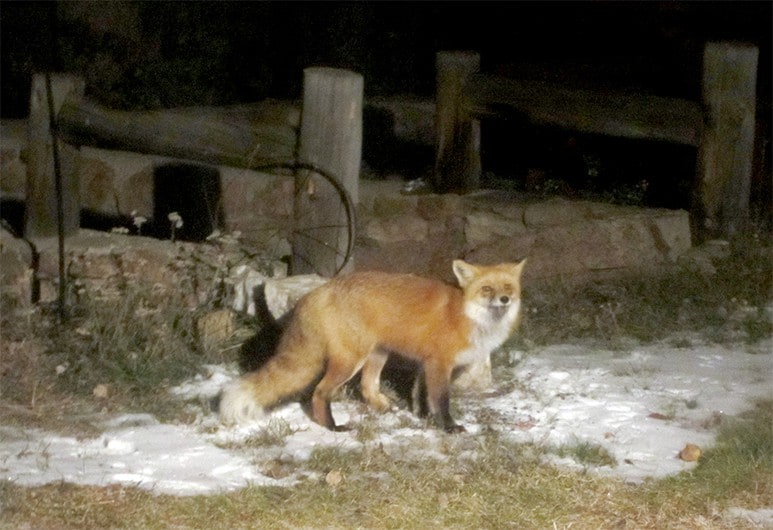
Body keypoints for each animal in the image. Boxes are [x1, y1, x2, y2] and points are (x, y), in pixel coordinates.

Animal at [220, 258, 528, 432]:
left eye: (508, 288)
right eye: (487, 289)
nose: (505, 300)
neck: (465, 314)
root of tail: (323, 289)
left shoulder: (425, 363)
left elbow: (419, 395)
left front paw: (420, 417)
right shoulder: (439, 364)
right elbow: (440, 401)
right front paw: (449, 428)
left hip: (378, 354)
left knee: (367, 388)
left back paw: (380, 408)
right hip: (350, 360)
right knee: (320, 393)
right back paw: (332, 427)